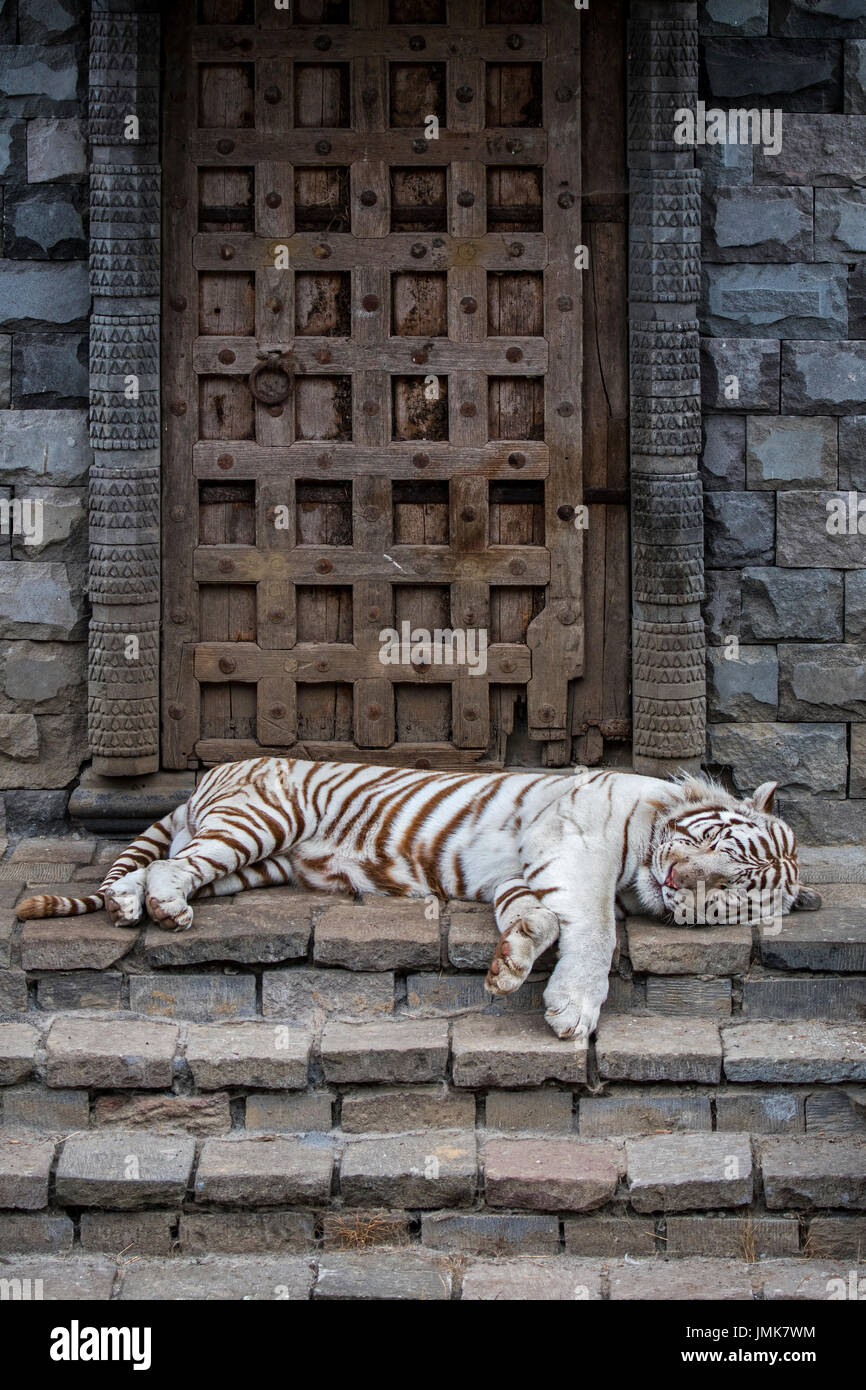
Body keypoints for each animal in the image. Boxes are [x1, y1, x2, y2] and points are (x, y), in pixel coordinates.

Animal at [15, 757, 821, 1041]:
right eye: (717, 846)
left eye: (731, 893)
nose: (682, 881)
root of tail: (208, 775)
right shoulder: (578, 843)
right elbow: (593, 929)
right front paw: (573, 1009)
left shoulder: (522, 870)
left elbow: (531, 915)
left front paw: (512, 962)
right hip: (257, 822)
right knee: (169, 869)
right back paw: (164, 911)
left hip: (252, 863)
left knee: (157, 867)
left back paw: (130, 906)